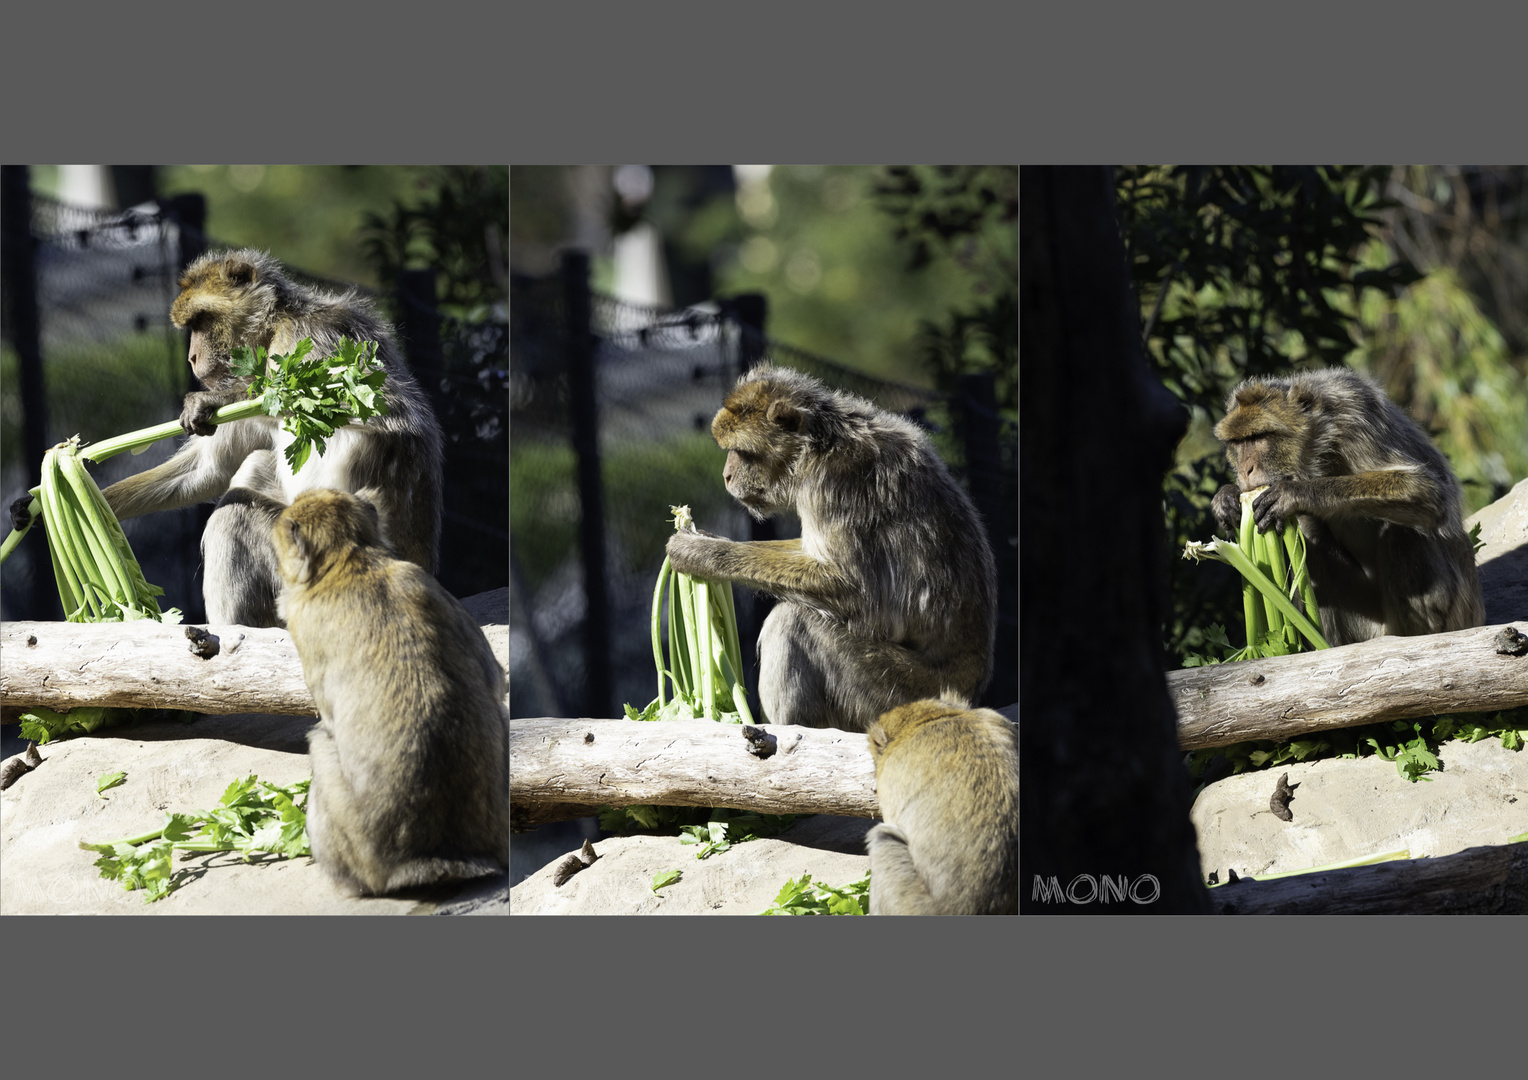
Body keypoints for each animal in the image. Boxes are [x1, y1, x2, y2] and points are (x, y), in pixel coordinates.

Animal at [97, 248, 443, 629]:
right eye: (191, 327)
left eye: (202, 321)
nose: (191, 357)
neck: (275, 325)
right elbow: (210, 469)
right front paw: (89, 503)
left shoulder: (310, 339)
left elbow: (376, 418)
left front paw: (219, 398)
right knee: (255, 466)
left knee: (236, 514)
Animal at [273, 488, 507, 898]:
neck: (349, 560)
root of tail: (434, 857)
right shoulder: (418, 577)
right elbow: (497, 681)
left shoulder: (305, 625)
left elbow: (326, 719)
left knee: (319, 742)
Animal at [663, 365, 996, 736]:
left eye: (742, 452)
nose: (726, 475)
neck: (819, 445)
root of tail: (966, 698)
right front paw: (712, 541)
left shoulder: (833, 485)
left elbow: (854, 589)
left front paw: (701, 554)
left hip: (895, 697)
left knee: (792, 619)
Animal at [1210, 368, 1485, 647]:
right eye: (1238, 443)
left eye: (1259, 437)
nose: (1245, 470)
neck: (1321, 451)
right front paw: (1227, 497)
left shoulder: (1356, 413)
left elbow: (1426, 490)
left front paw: (1295, 493)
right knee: (1311, 533)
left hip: (1454, 615)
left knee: (1403, 530)